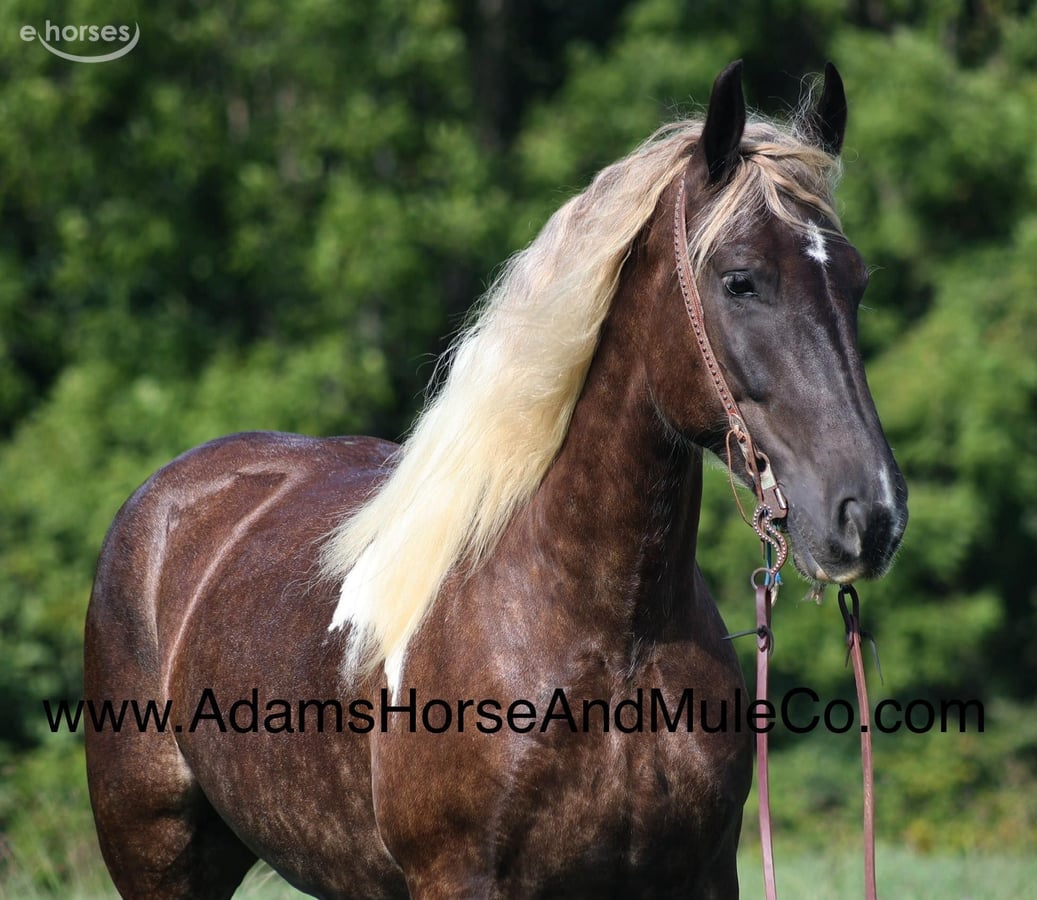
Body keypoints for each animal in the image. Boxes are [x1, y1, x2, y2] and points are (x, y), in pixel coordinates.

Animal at [84, 61, 907, 898]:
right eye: (740, 281)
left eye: (856, 282)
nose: (868, 515)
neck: (611, 639)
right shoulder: (460, 879)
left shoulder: (700, 875)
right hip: (157, 854)